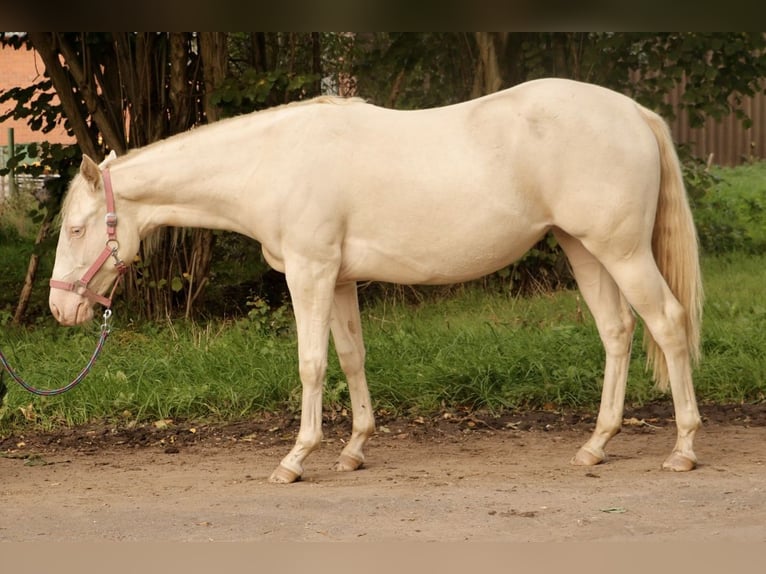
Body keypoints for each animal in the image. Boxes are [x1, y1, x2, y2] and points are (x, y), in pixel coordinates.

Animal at [49, 78, 703, 483]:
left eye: (77, 228)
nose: (60, 310)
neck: (271, 162)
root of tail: (634, 112)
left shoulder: (310, 274)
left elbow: (312, 363)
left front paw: (295, 458)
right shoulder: (338, 280)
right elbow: (352, 357)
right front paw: (354, 449)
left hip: (621, 251)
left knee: (668, 324)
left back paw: (683, 448)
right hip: (583, 249)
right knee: (617, 332)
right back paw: (596, 445)